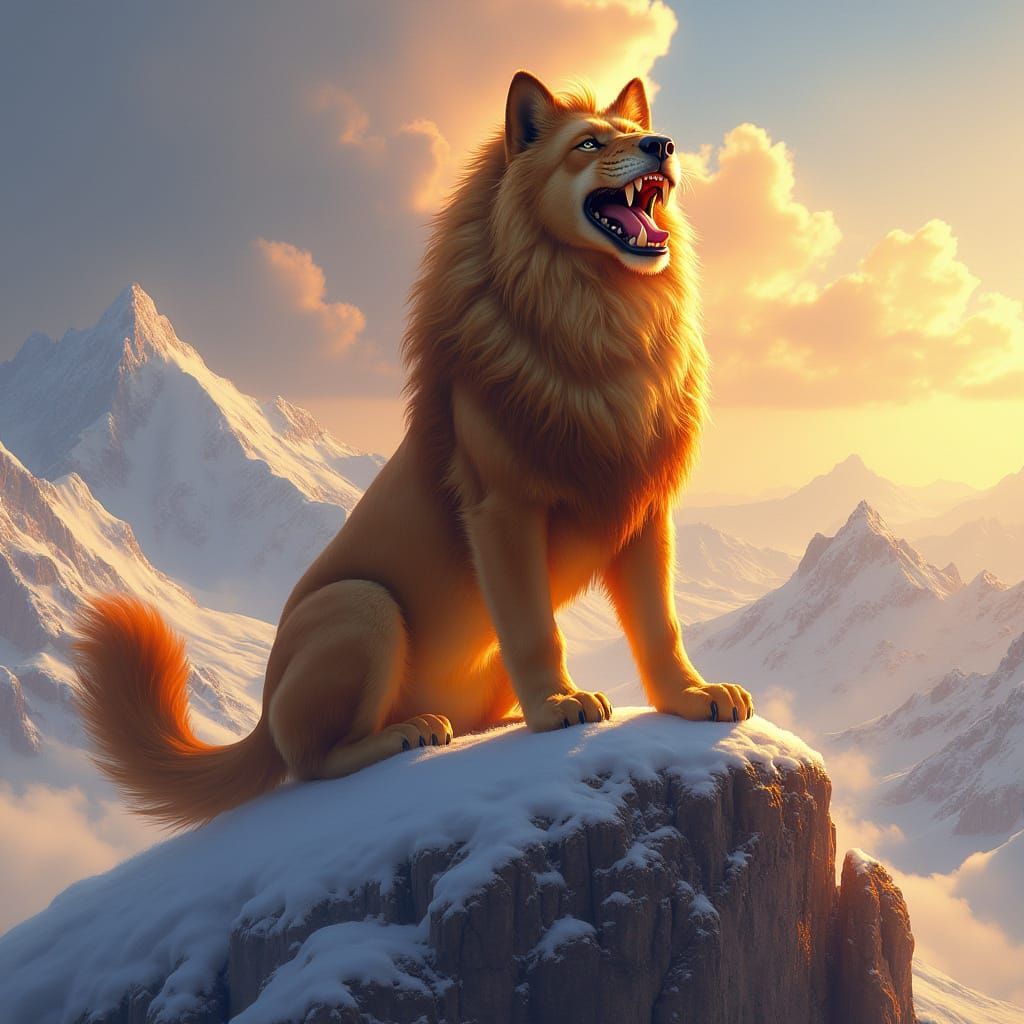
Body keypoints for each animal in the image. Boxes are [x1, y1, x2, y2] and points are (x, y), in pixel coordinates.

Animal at [74, 71, 754, 829]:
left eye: (636, 132)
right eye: (588, 143)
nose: (661, 145)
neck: (601, 324)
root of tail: (260, 716)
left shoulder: (644, 511)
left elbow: (661, 627)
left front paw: (693, 698)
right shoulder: (502, 510)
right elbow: (533, 628)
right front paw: (558, 706)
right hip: (363, 606)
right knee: (311, 762)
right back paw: (413, 732)